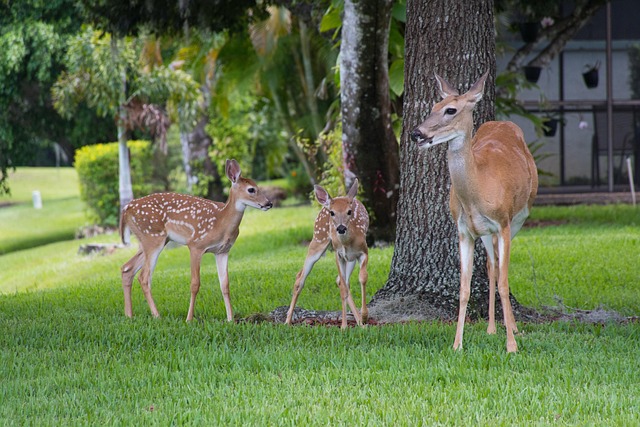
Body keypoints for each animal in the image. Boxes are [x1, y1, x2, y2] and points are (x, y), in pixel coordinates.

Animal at [120, 160, 272, 320]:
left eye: (257, 186)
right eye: (251, 189)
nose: (269, 203)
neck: (221, 222)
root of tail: (125, 209)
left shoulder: (222, 251)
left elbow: (225, 285)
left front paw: (230, 319)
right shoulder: (195, 245)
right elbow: (195, 284)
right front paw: (189, 319)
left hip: (151, 239)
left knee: (127, 268)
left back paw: (129, 315)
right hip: (152, 237)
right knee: (144, 277)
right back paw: (157, 316)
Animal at [284, 179, 370, 330]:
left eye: (349, 211)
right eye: (332, 212)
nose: (341, 228)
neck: (348, 242)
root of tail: (325, 204)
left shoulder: (363, 251)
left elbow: (362, 278)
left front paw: (364, 317)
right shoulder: (338, 254)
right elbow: (343, 288)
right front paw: (344, 326)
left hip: (349, 258)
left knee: (343, 281)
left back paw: (360, 322)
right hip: (318, 239)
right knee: (300, 278)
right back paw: (287, 321)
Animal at [408, 72, 536, 354]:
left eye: (450, 110)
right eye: (433, 106)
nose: (416, 133)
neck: (478, 189)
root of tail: (502, 121)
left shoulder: (503, 222)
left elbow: (504, 284)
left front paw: (512, 345)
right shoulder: (464, 231)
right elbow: (464, 288)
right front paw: (457, 344)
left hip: (519, 217)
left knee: (500, 268)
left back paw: (513, 329)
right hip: (485, 232)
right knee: (491, 265)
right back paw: (491, 328)